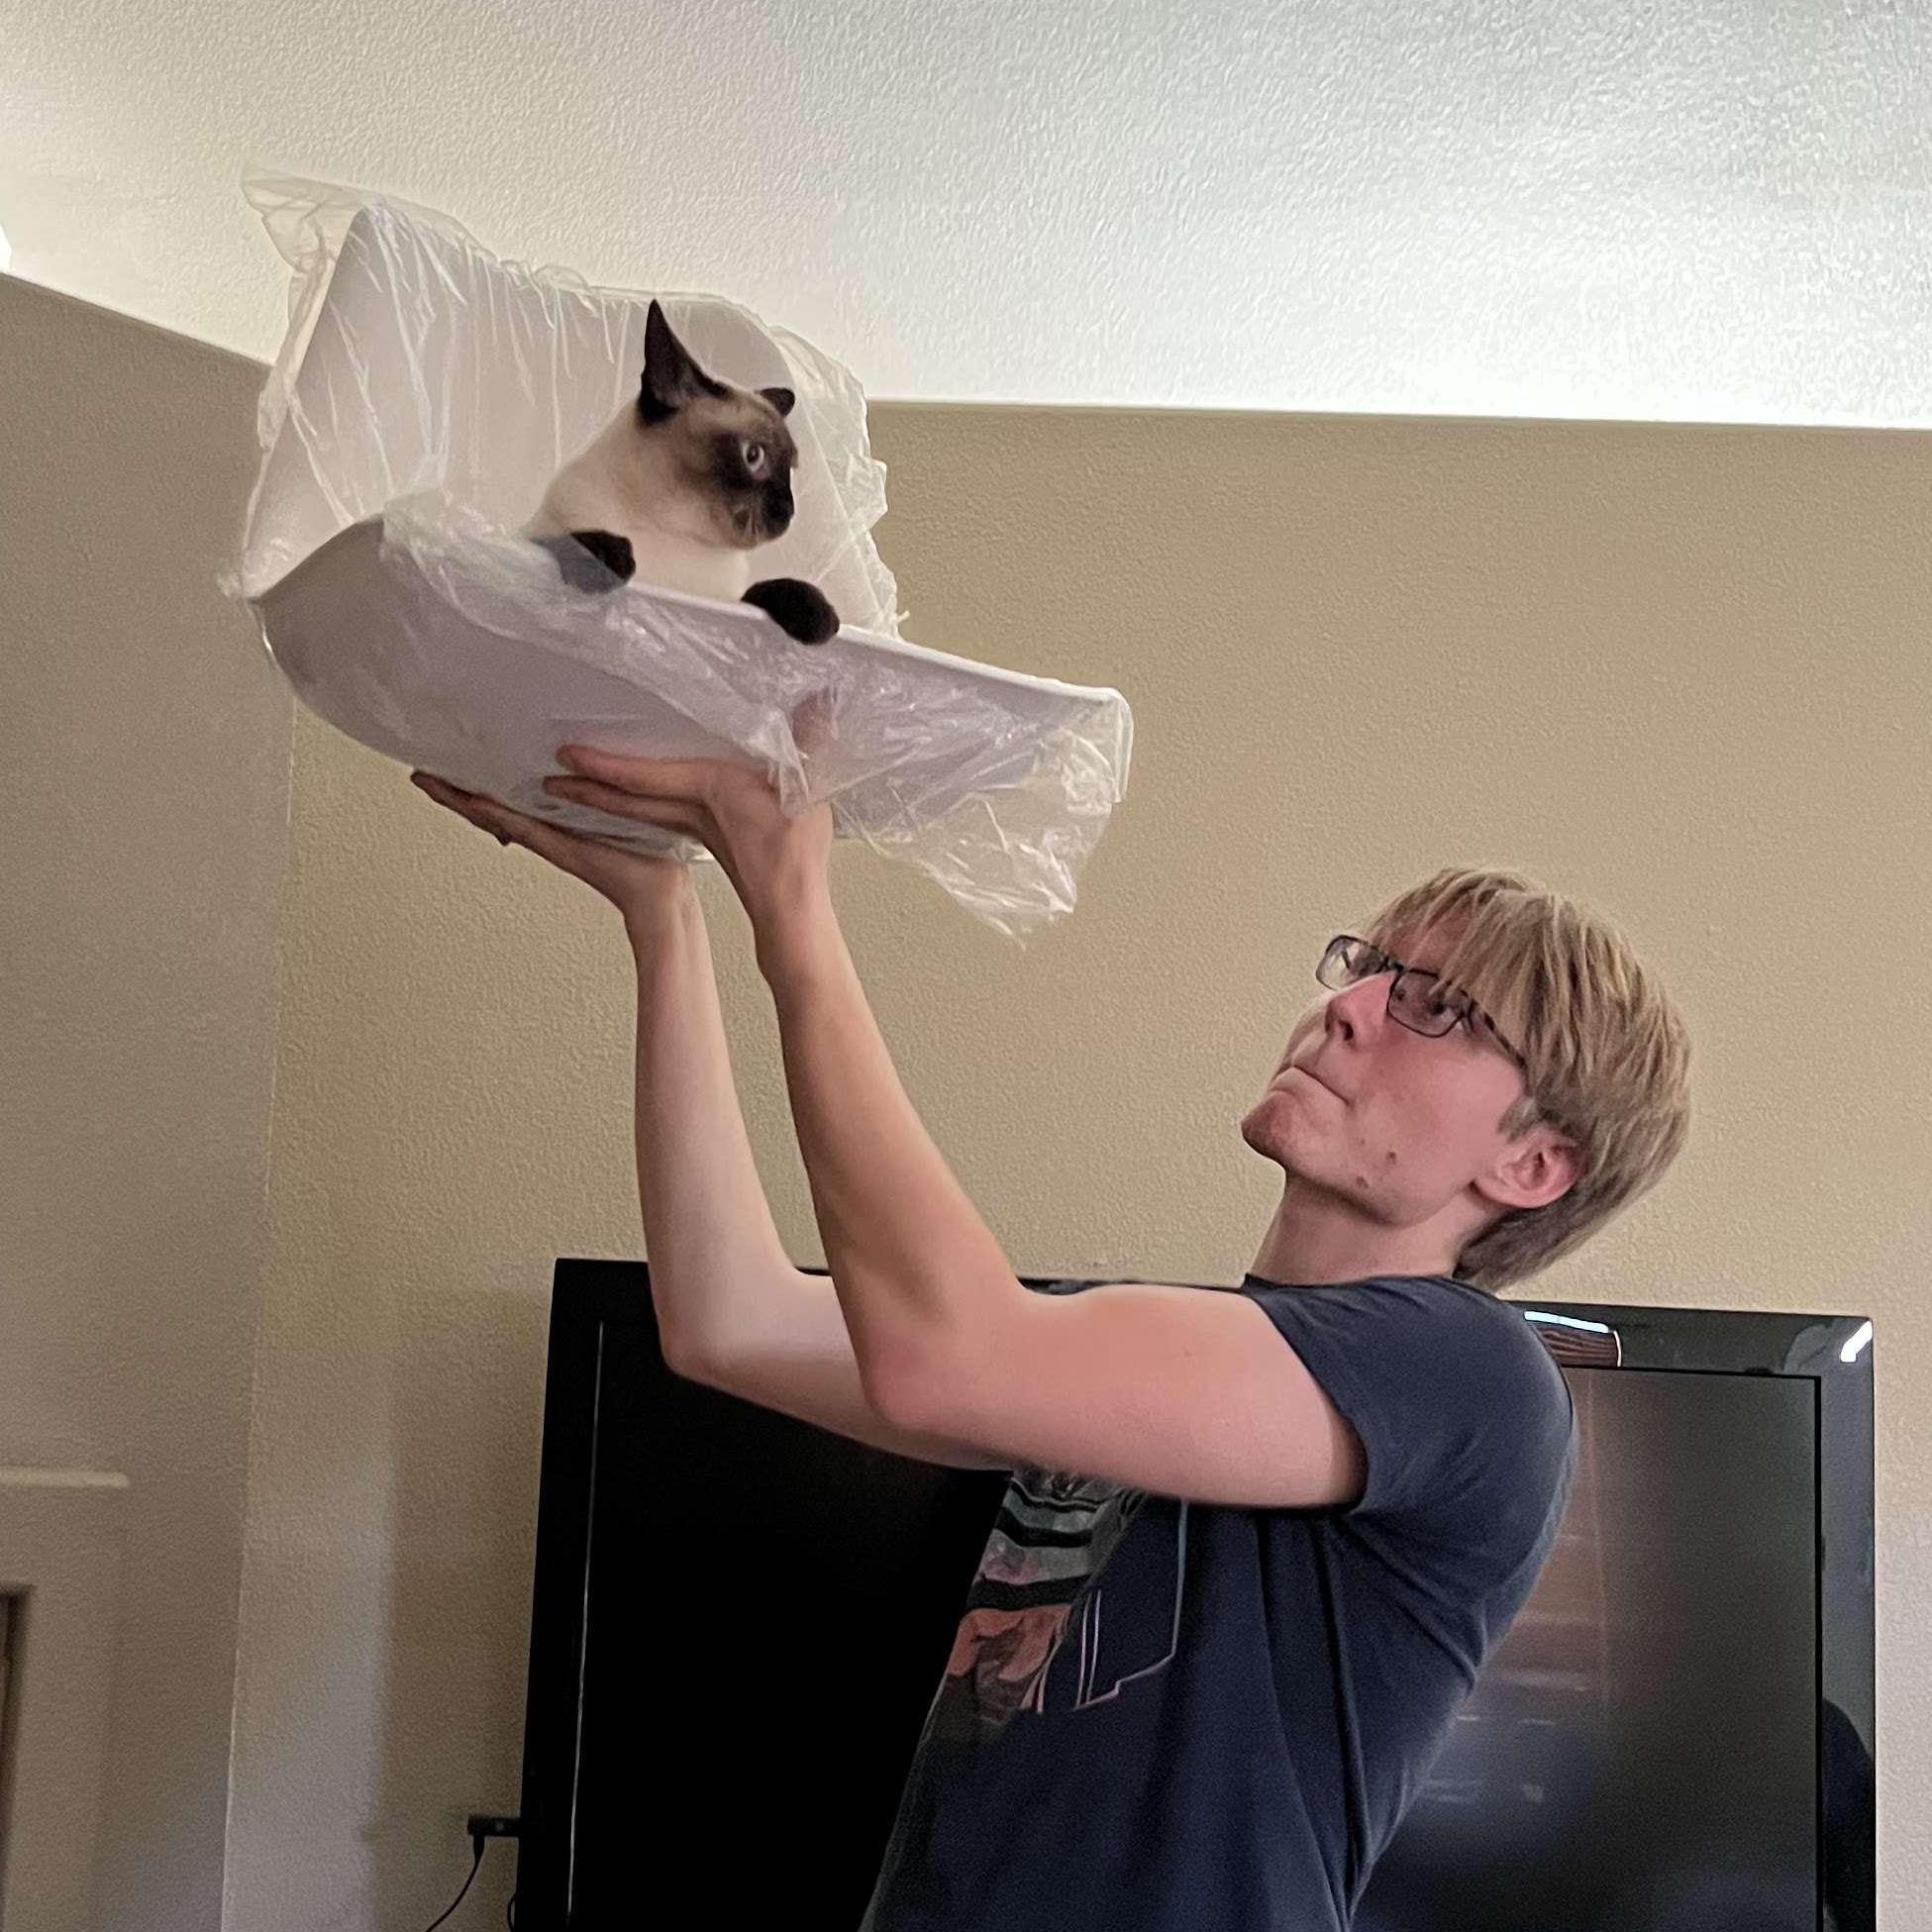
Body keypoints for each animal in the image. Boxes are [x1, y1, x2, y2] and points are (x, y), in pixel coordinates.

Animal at [521, 293, 838, 641]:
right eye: (753, 456)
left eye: (789, 469)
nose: (789, 509)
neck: (676, 530)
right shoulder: (528, 536)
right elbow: (562, 540)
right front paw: (605, 562)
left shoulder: (730, 600)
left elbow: (762, 591)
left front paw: (818, 615)